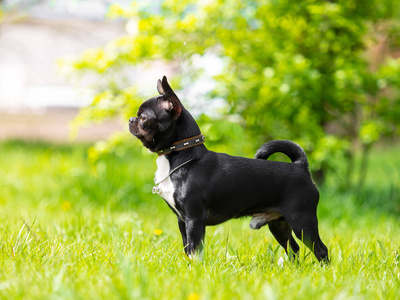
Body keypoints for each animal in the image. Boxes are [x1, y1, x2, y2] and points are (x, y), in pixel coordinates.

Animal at [130, 76, 330, 262]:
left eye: (143, 117)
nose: (132, 119)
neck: (183, 158)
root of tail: (300, 166)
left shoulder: (194, 220)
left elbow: (195, 250)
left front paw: (195, 270)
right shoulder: (182, 221)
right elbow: (188, 249)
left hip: (302, 222)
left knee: (321, 249)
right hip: (279, 224)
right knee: (293, 248)